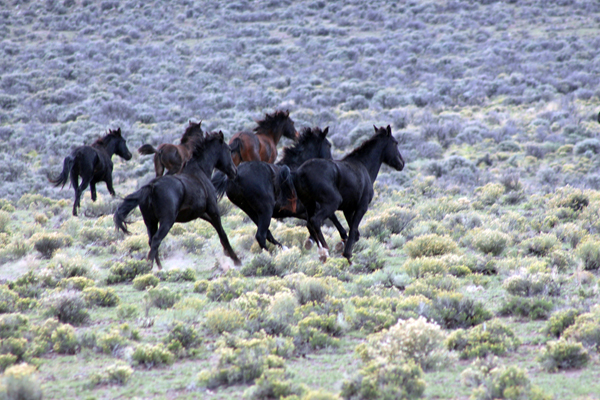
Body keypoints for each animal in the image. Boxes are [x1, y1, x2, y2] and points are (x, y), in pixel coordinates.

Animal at [113, 131, 240, 268]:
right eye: (229, 150)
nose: (234, 171)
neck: (200, 171)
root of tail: (152, 187)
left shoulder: (201, 213)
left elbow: (218, 230)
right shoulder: (213, 210)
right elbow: (222, 232)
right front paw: (236, 259)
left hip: (150, 221)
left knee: (151, 241)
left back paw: (159, 268)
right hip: (167, 221)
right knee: (156, 240)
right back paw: (150, 268)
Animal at [213, 126, 350, 250]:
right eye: (329, 145)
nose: (333, 165)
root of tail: (236, 176)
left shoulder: (303, 211)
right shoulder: (315, 206)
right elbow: (331, 217)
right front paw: (342, 239)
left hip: (251, 212)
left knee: (267, 234)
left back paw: (282, 248)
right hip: (265, 210)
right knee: (261, 236)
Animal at [290, 125, 404, 262]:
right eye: (395, 142)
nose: (402, 163)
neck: (363, 166)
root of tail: (301, 172)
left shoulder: (348, 209)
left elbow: (353, 232)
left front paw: (343, 246)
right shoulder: (362, 207)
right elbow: (354, 229)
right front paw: (347, 254)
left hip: (310, 205)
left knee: (309, 224)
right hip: (332, 203)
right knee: (315, 221)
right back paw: (325, 251)